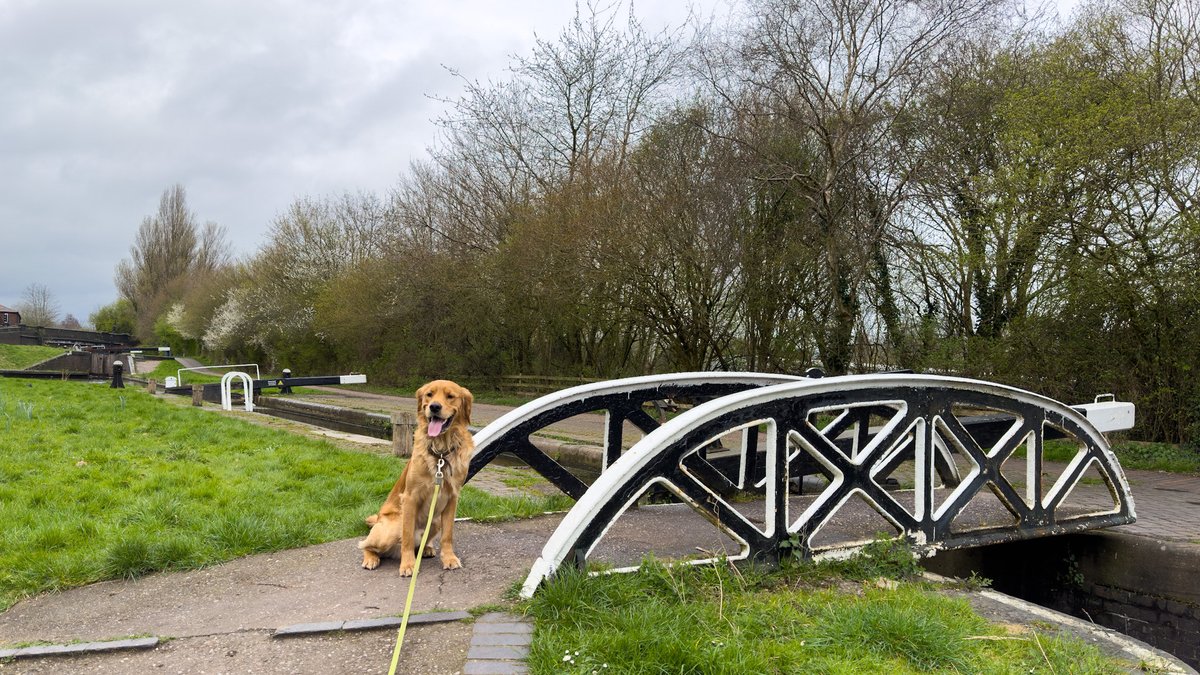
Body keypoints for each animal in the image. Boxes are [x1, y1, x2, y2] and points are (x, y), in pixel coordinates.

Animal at [355, 379, 472, 571]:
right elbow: (408, 537)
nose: (434, 407)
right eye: (429, 394)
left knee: (423, 542)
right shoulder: (410, 497)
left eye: (450, 396)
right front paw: (408, 564)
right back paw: (371, 558)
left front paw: (449, 558)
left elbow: (448, 535)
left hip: (435, 521)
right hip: (392, 526)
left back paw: (427, 549)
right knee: (365, 544)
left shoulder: (452, 498)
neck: (440, 452)